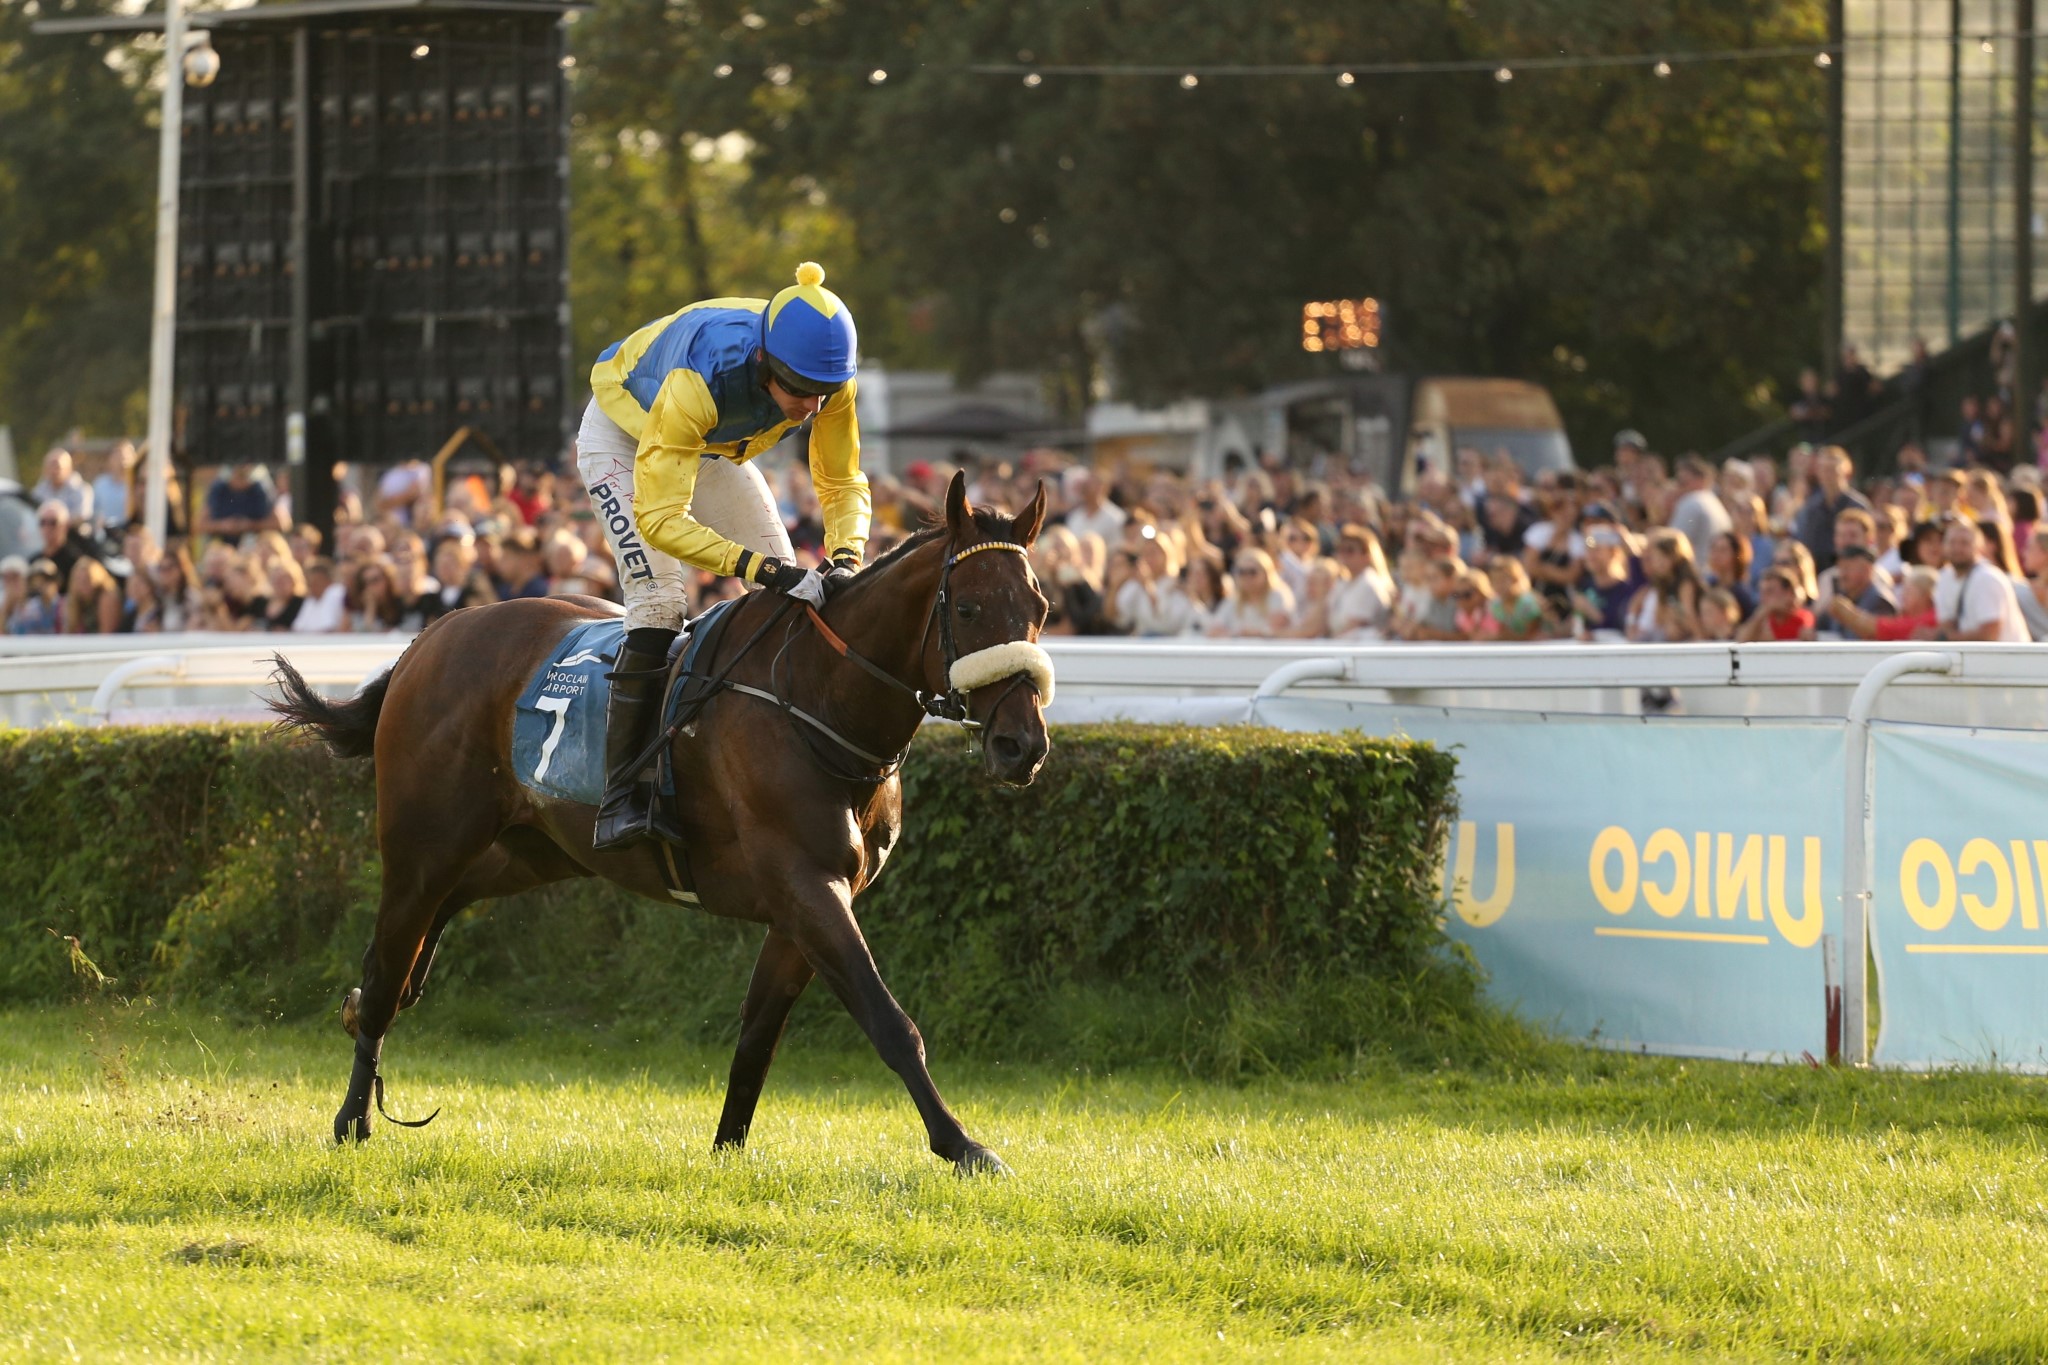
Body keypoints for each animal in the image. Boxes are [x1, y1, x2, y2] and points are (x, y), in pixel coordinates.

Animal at [264, 470, 1048, 1178]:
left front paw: (728, 1148)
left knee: (430, 929)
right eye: (970, 607)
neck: (817, 699)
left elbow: (759, 1032)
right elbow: (889, 1021)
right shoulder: (806, 884)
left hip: (533, 849)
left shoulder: (813, 898)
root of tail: (427, 640)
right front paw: (965, 1146)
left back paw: (366, 1017)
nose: (1024, 745)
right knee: (388, 959)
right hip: (424, 845)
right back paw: (353, 1114)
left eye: (1038, 604)